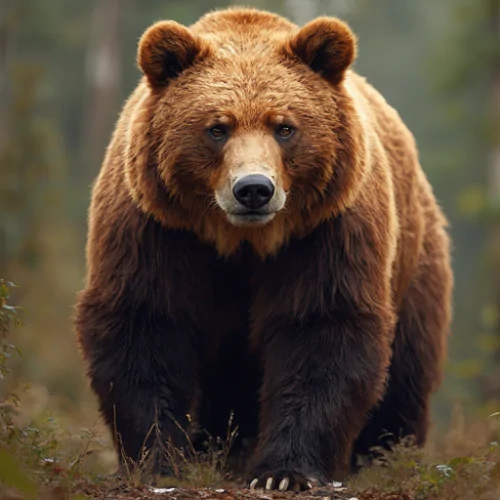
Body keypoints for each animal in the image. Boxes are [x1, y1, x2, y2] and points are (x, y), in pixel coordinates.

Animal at [74, 6, 454, 492]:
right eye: (218, 128)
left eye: (285, 127)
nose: (253, 188)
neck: (242, 241)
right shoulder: (156, 229)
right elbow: (146, 323)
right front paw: (160, 460)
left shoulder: (325, 232)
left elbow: (321, 329)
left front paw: (285, 472)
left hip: (413, 262)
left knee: (406, 370)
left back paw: (385, 455)